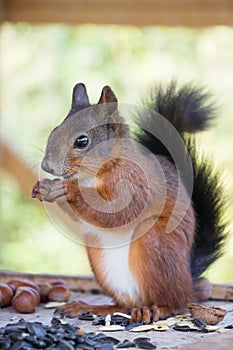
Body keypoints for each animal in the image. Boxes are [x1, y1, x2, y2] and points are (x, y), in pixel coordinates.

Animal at [31, 82, 227, 322]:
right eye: (54, 130)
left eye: (82, 141)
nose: (46, 166)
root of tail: (189, 285)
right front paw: (43, 188)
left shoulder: (134, 182)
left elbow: (117, 213)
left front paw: (69, 190)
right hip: (98, 258)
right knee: (123, 305)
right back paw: (90, 307)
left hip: (156, 243)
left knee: (175, 303)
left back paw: (156, 309)